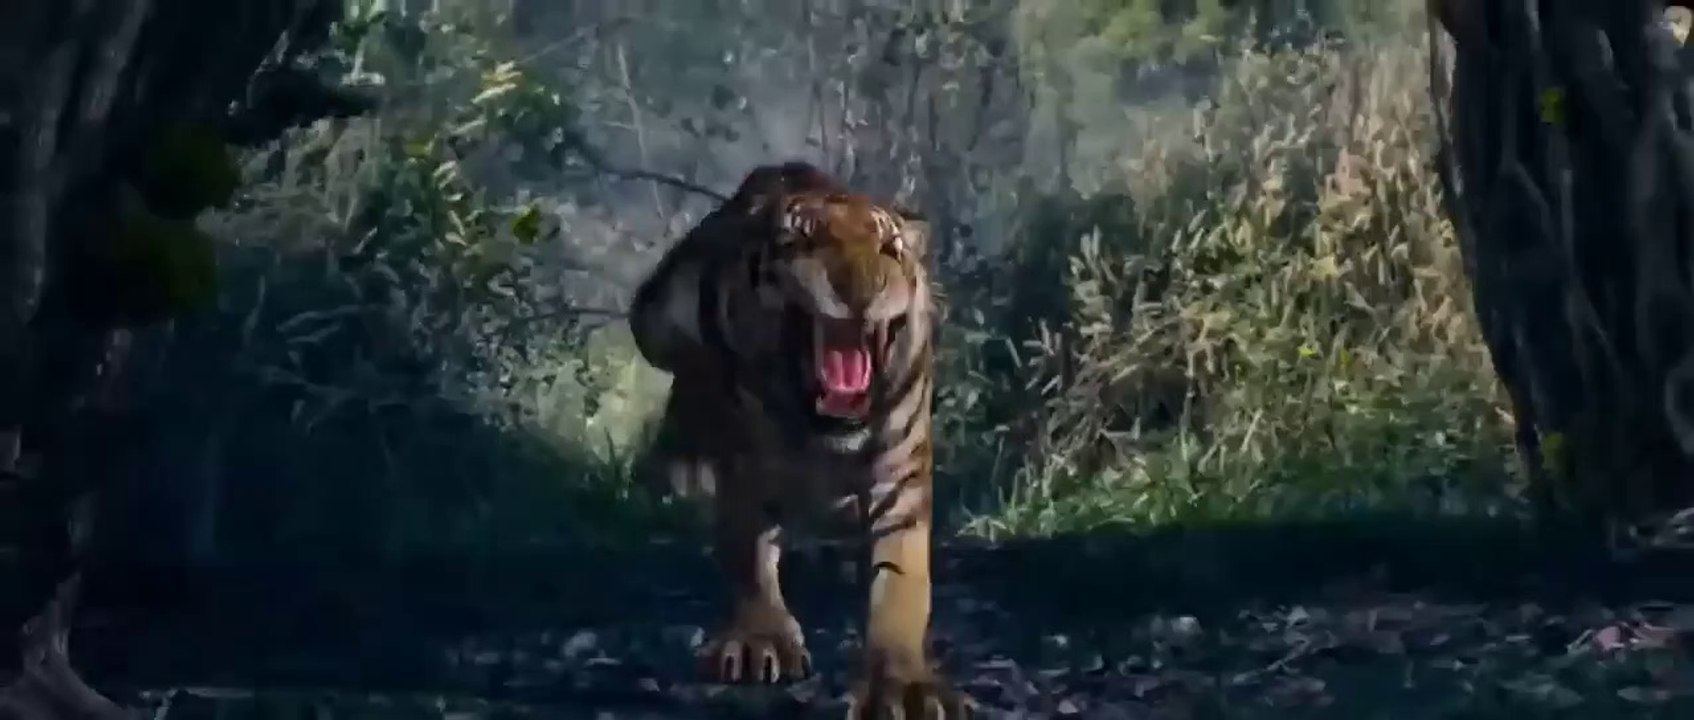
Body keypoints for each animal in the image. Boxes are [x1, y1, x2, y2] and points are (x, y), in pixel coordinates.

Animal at [628, 161, 973, 719]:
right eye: (803, 242)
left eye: (890, 248)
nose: (860, 291)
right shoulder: (746, 474)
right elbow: (749, 559)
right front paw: (759, 641)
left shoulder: (900, 484)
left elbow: (901, 584)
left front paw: (905, 685)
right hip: (655, 323)